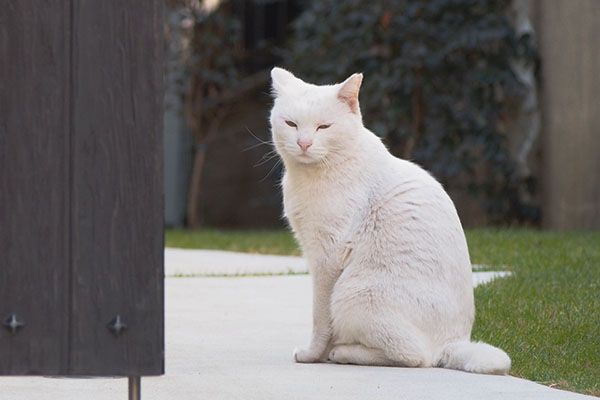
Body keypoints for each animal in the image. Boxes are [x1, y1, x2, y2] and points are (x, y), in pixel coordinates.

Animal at [270, 66, 508, 376]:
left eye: (324, 127)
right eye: (291, 124)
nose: (304, 143)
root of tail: (452, 343)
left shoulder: (327, 259)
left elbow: (320, 318)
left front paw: (313, 355)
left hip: (352, 292)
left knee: (415, 357)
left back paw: (343, 352)